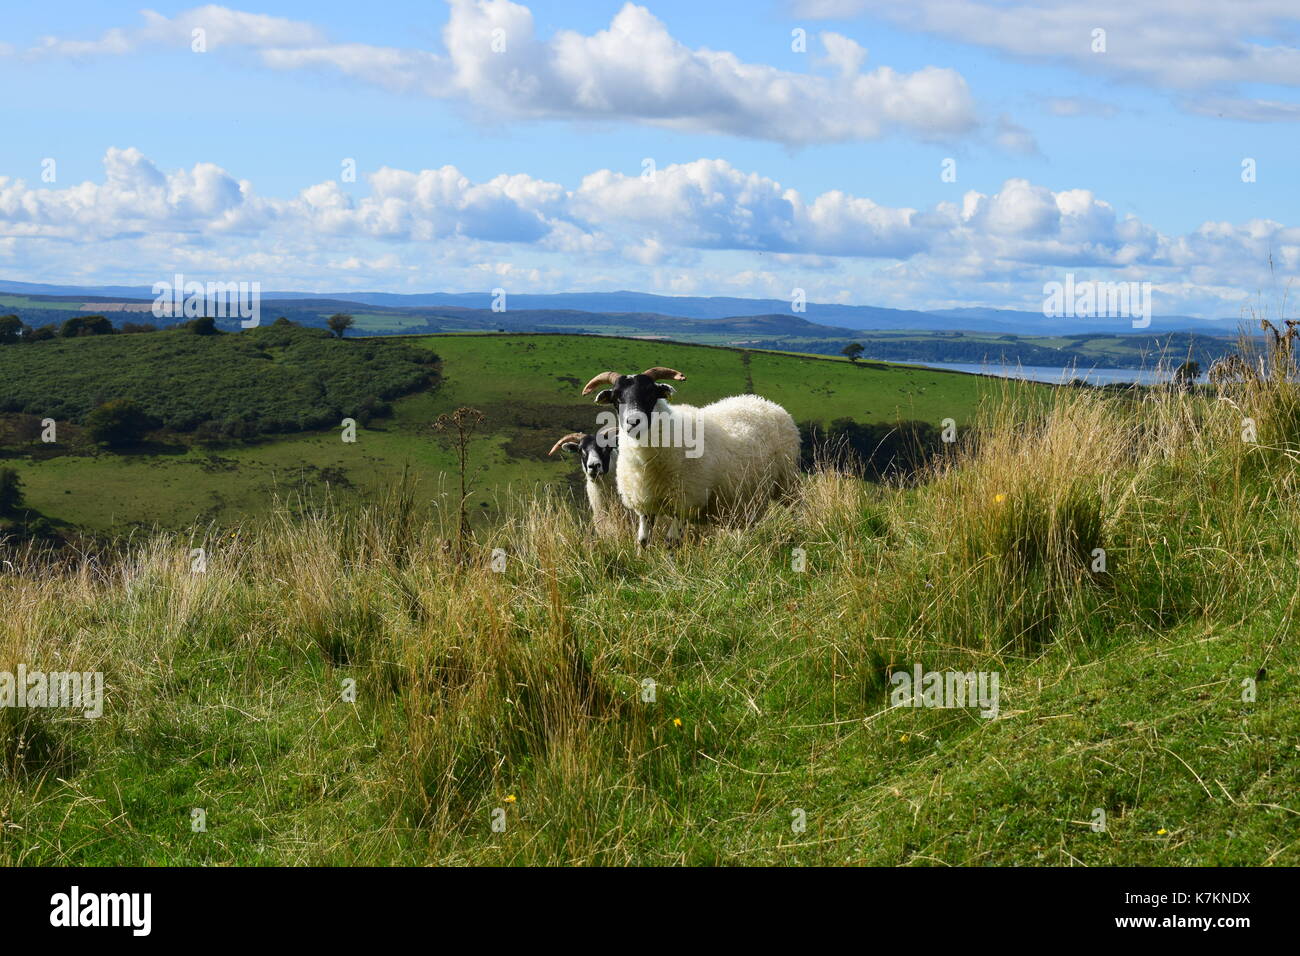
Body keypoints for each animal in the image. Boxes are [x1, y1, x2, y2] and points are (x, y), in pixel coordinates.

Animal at [581, 366, 800, 547]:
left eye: (650, 393)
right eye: (617, 398)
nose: (633, 421)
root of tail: (766, 403)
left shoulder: (685, 502)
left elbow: (671, 542)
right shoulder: (645, 505)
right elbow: (643, 541)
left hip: (786, 479)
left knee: (796, 505)